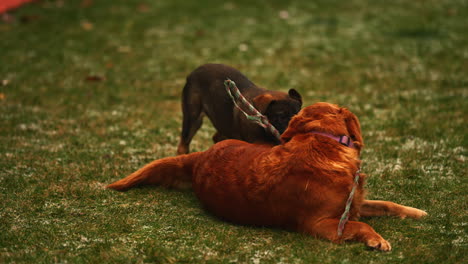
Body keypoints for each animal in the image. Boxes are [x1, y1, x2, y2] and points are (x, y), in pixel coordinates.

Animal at [107, 102, 428, 251]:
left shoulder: (356, 203)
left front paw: (416, 212)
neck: (321, 139)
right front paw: (376, 239)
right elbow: (361, 224)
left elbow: (387, 204)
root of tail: (201, 157)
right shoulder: (322, 225)